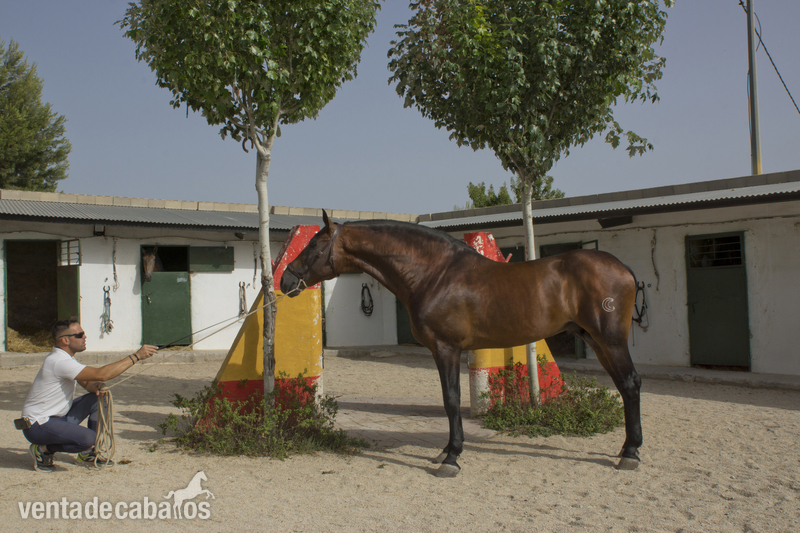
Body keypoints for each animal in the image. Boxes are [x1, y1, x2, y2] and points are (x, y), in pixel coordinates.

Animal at [280, 211, 642, 478]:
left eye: (314, 245)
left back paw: (631, 454)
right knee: (624, 386)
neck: (435, 274)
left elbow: (451, 400)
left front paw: (451, 457)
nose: (286, 280)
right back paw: (626, 448)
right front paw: (446, 450)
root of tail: (623, 268)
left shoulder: (447, 348)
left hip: (610, 341)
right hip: (597, 341)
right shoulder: (441, 351)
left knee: (630, 384)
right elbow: (448, 400)